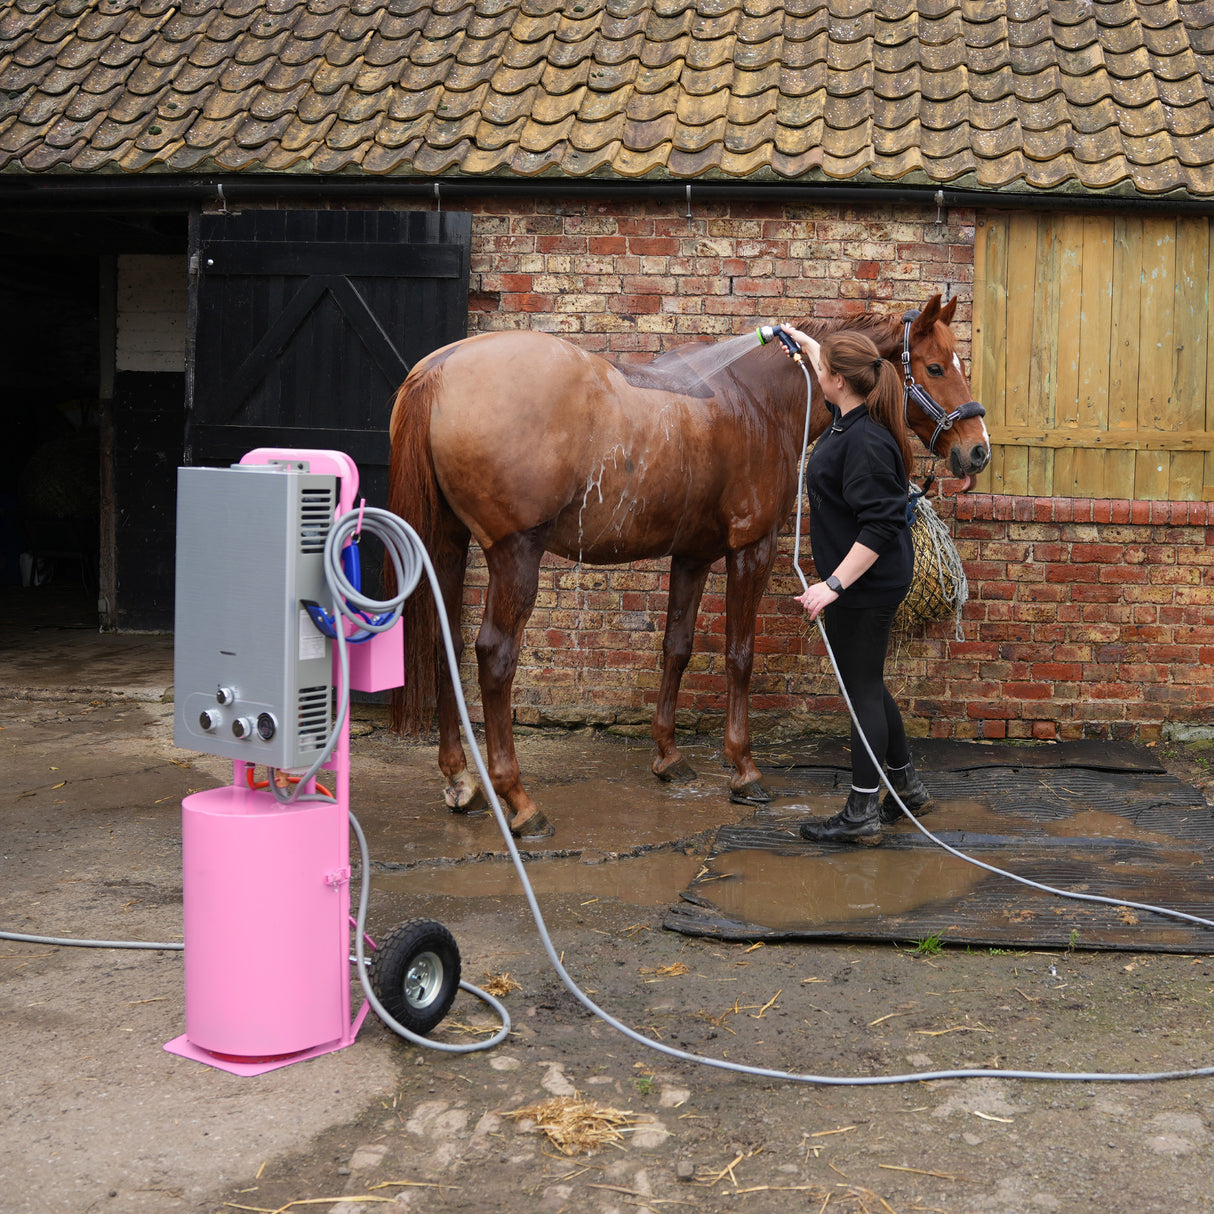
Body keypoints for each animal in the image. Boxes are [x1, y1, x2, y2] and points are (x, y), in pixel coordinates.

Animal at [387, 293, 990, 838]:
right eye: (935, 366)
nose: (977, 450)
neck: (757, 396)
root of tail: (438, 372)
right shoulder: (752, 548)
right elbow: (739, 656)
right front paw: (744, 771)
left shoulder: (692, 555)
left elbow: (676, 647)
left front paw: (669, 758)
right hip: (515, 555)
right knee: (495, 657)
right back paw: (518, 801)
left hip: (448, 545)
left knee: (447, 642)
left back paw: (460, 780)